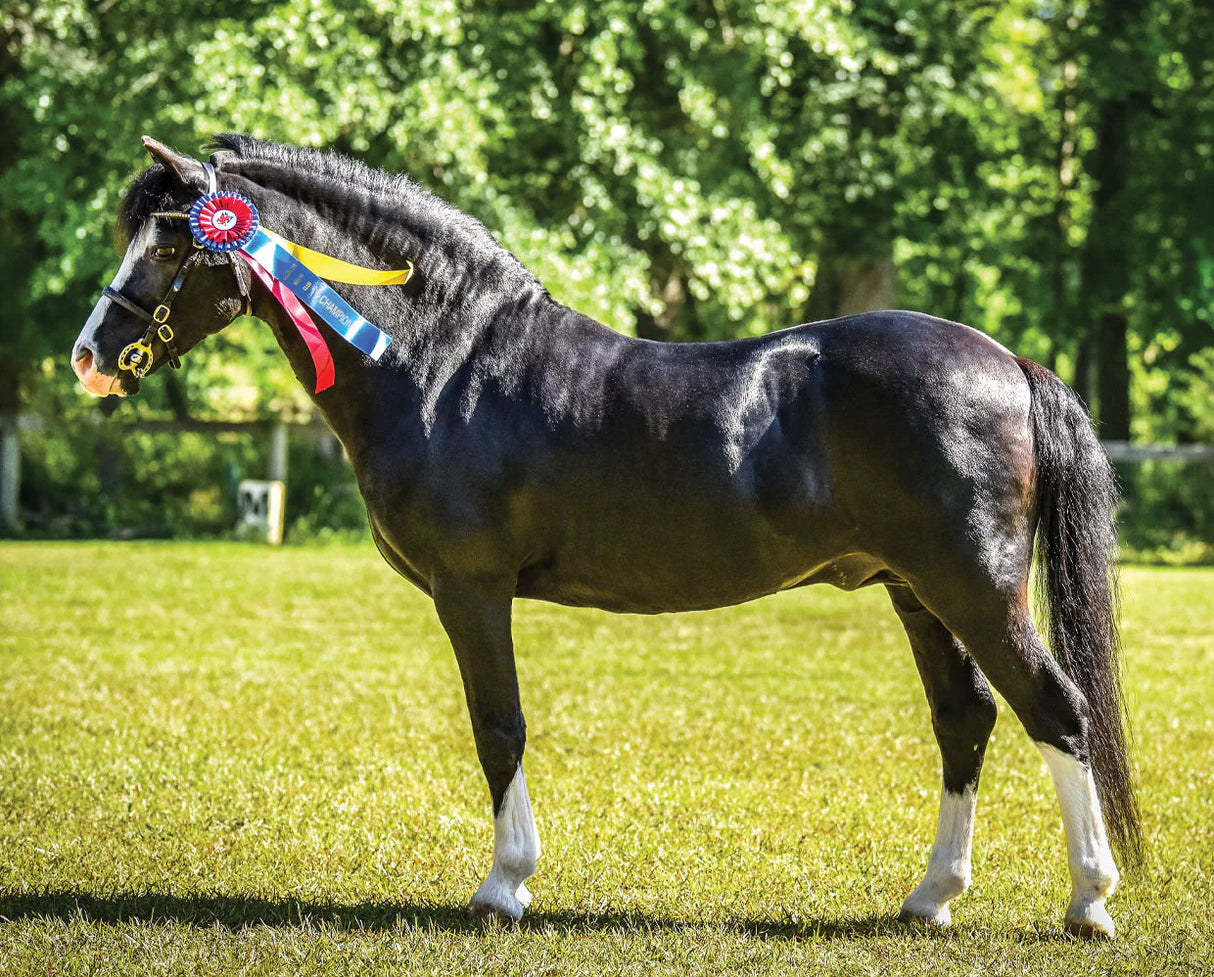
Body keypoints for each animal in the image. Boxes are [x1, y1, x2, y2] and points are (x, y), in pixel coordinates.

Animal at [71, 135, 1140, 937]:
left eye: (171, 244)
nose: (89, 356)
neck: (446, 363)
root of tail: (1007, 360)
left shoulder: (472, 588)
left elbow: (498, 727)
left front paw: (504, 886)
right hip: (918, 591)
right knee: (967, 720)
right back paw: (930, 898)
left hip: (975, 587)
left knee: (1058, 709)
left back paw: (1089, 902)